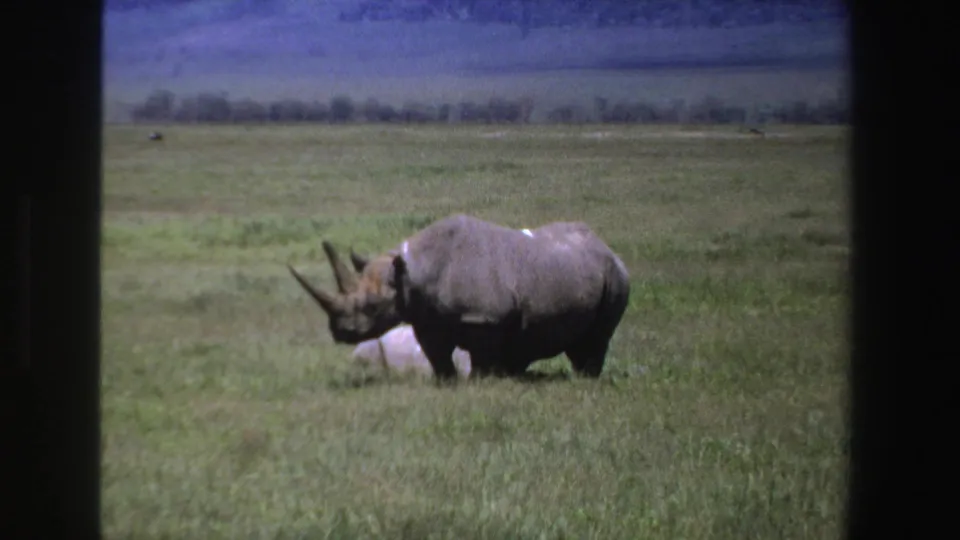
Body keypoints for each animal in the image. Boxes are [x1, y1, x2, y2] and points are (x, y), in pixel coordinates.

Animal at [287, 213, 630, 380]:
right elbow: (437, 355)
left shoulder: (486, 318)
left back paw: (585, 379)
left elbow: (483, 356)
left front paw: (482, 381)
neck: (411, 272)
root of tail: (606, 247)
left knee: (598, 338)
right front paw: (446, 382)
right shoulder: (426, 317)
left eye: (372, 307)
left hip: (615, 276)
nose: (340, 333)